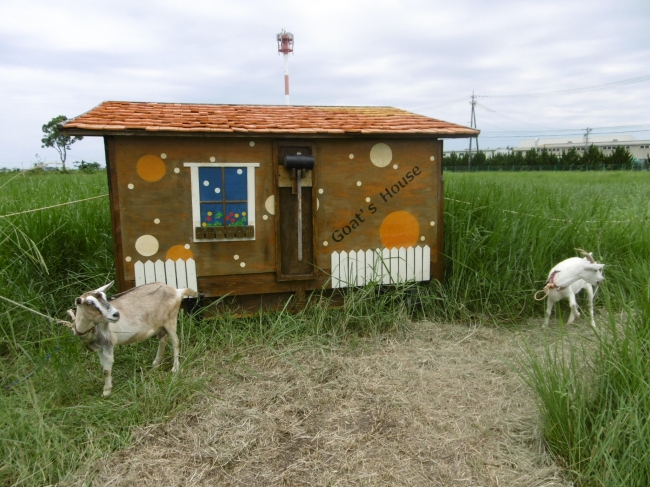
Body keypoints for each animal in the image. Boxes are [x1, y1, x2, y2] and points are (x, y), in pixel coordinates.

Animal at [66, 282, 199, 396]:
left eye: (105, 297)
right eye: (90, 303)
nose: (116, 314)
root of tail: (177, 291)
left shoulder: (108, 345)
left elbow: (106, 370)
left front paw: (106, 391)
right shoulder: (99, 349)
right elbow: (103, 368)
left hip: (170, 319)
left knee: (175, 342)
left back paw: (175, 368)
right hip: (160, 325)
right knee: (163, 339)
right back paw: (156, 363)